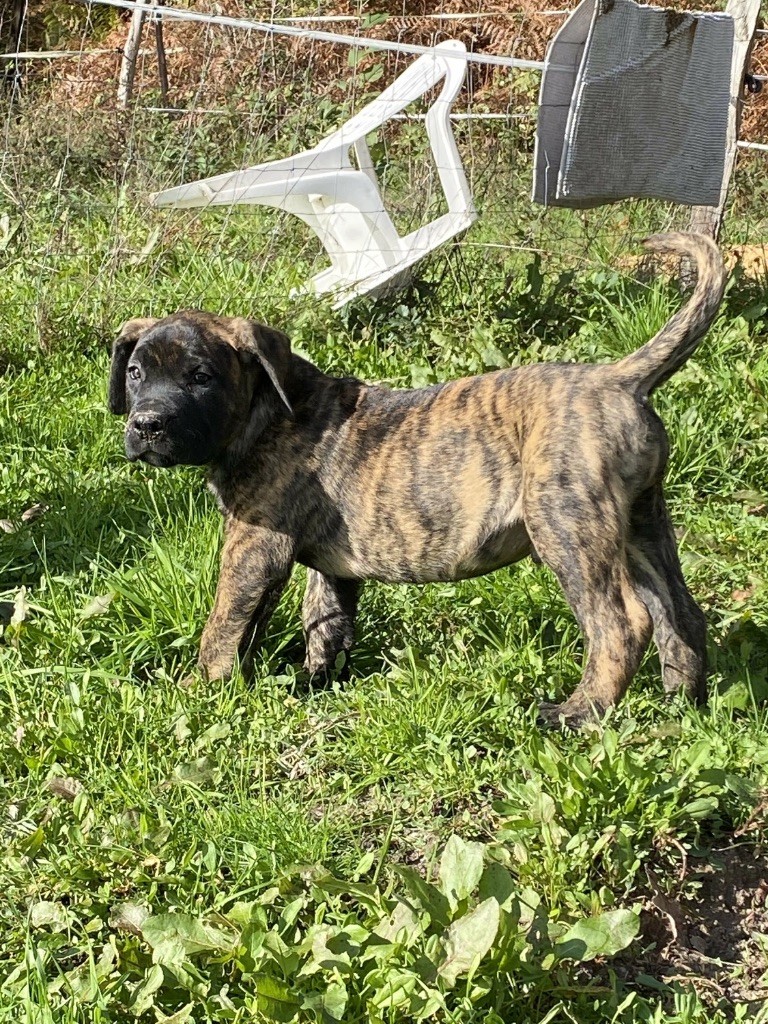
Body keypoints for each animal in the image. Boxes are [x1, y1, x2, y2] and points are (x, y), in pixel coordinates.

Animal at [108, 232, 729, 729]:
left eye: (202, 377)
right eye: (135, 373)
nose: (146, 425)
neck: (265, 412)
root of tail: (619, 379)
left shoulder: (253, 548)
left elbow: (226, 624)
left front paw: (198, 691)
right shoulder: (330, 567)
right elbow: (324, 622)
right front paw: (314, 683)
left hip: (568, 524)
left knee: (620, 623)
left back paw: (577, 714)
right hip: (643, 524)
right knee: (680, 613)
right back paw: (684, 707)